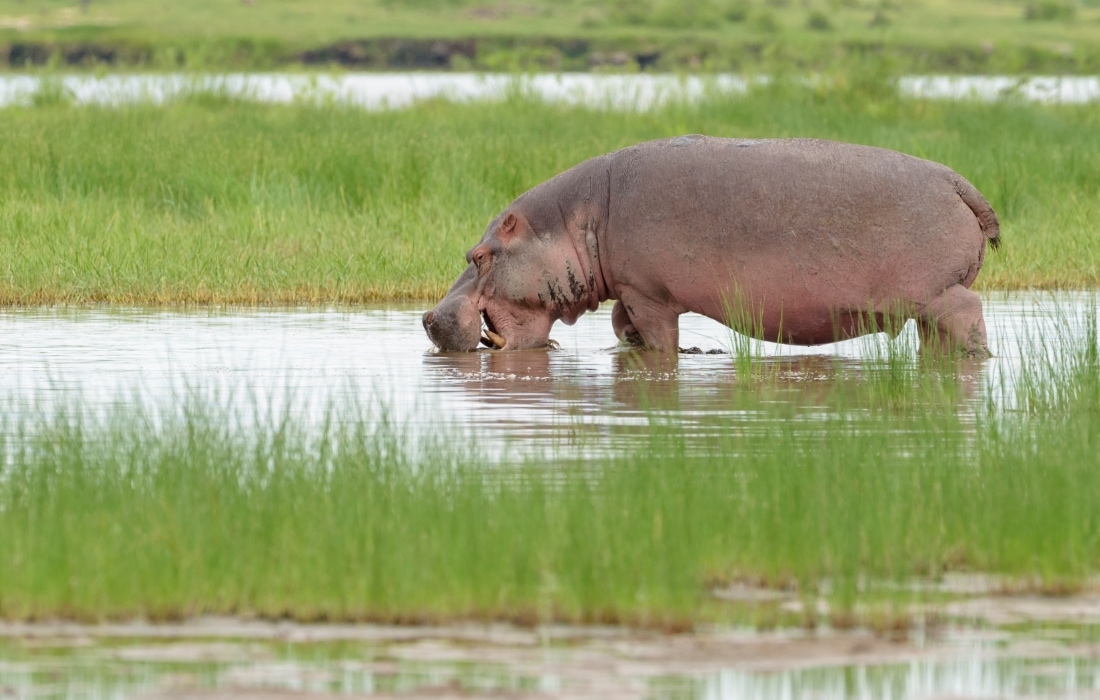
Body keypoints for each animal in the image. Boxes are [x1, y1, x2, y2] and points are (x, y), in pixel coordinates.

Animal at [422, 136, 1000, 357]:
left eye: (479, 256)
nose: (428, 317)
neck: (575, 220)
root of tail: (958, 182)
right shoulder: (630, 290)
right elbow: (622, 327)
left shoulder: (648, 292)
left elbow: (657, 336)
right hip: (925, 302)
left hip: (936, 291)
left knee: (968, 312)